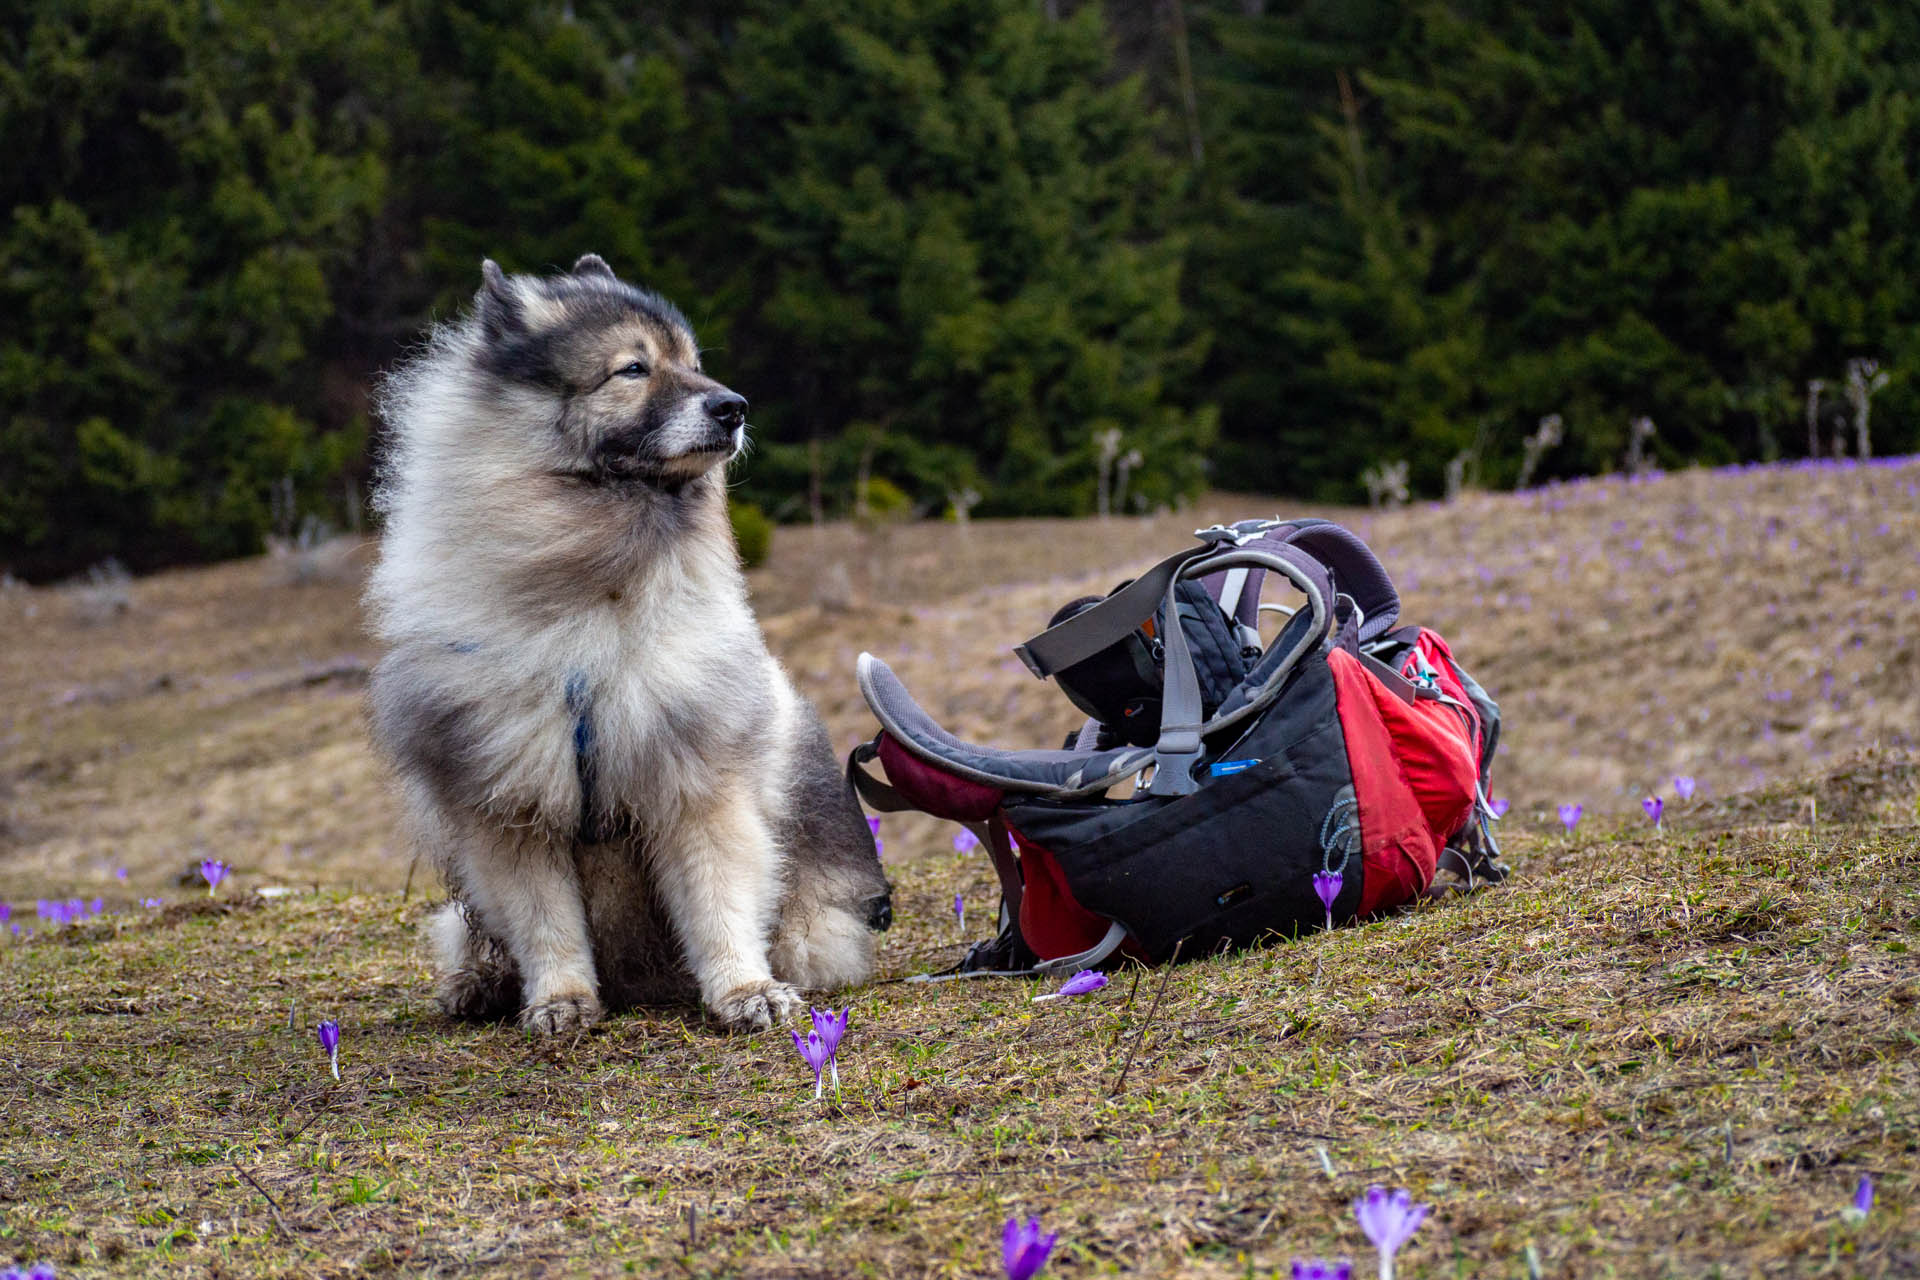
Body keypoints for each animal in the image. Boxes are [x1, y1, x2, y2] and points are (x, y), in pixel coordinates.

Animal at [364, 255, 890, 1036]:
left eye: (693, 364)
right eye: (633, 369)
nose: (734, 407)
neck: (587, 595)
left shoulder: (695, 778)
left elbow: (718, 900)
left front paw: (745, 991)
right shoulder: (507, 804)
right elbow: (545, 923)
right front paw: (561, 1001)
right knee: (475, 936)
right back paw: (479, 983)